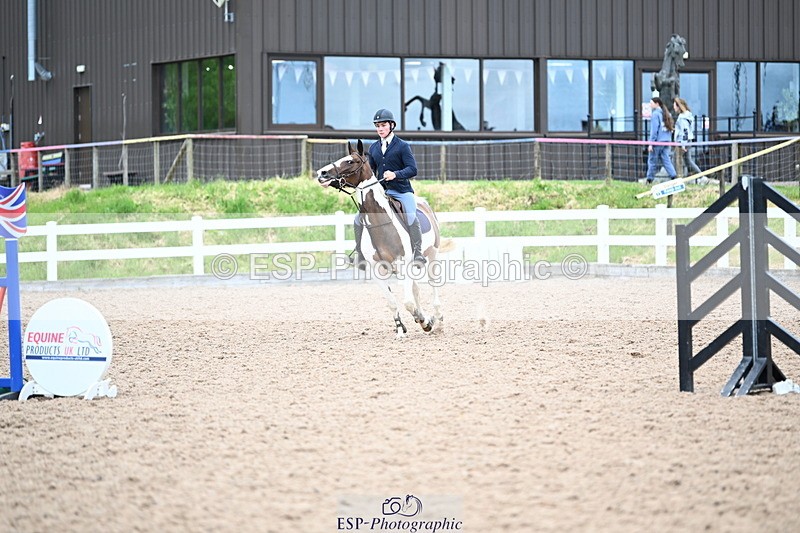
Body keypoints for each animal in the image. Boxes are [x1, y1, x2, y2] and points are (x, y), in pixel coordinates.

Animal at [316, 140, 450, 338]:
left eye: (351, 161)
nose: (321, 173)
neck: (380, 224)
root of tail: (423, 202)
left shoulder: (403, 265)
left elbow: (408, 302)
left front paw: (425, 321)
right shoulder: (376, 270)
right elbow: (393, 302)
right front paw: (401, 329)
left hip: (432, 255)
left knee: (433, 286)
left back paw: (438, 321)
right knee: (416, 290)